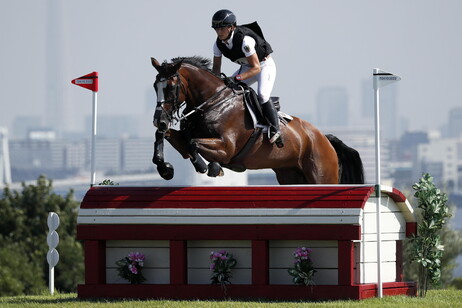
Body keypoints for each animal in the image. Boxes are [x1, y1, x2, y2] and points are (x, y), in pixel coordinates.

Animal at [150, 55, 362, 184]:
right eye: (155, 86)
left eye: (171, 87)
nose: (159, 120)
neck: (213, 102)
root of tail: (324, 139)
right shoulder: (186, 135)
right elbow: (167, 135)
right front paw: (164, 168)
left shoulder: (226, 148)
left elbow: (193, 143)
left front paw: (209, 167)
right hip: (290, 175)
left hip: (321, 175)